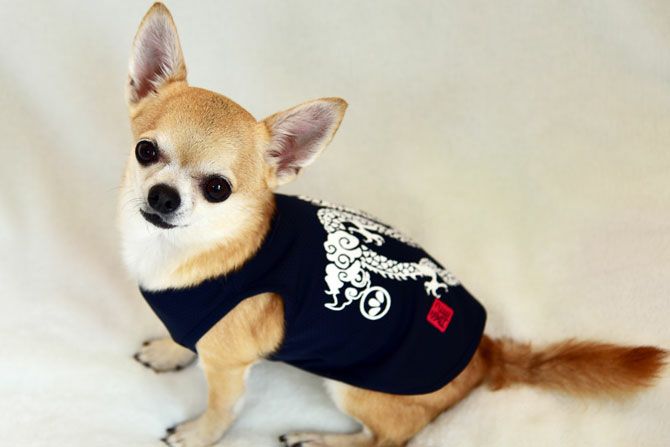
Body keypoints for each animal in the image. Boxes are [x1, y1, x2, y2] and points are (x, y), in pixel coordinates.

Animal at [120, 4, 667, 447]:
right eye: (145, 151)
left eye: (218, 189)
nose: (163, 196)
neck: (183, 252)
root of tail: (487, 352)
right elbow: (183, 337)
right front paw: (169, 352)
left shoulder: (229, 368)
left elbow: (220, 410)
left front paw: (198, 434)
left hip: (356, 389)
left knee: (386, 441)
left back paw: (319, 440)